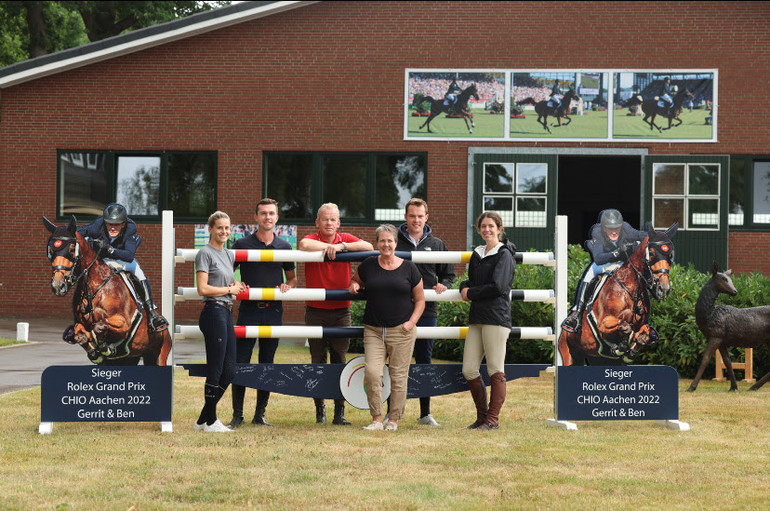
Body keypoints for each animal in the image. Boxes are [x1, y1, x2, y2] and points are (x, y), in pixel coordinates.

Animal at [42, 216, 172, 368]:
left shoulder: (124, 323)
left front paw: (104, 346)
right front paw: (95, 352)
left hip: (159, 354)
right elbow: (79, 334)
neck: (94, 288)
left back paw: (156, 321)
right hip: (130, 359)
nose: (58, 286)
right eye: (50, 250)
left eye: (72, 249)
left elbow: (99, 326)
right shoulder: (80, 324)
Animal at [556, 222, 676, 366]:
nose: (664, 289)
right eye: (651, 253)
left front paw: (631, 351)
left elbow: (645, 334)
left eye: (671, 255)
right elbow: (625, 326)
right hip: (569, 353)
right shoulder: (603, 324)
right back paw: (573, 321)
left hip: (596, 358)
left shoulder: (642, 325)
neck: (630, 291)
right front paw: (622, 346)